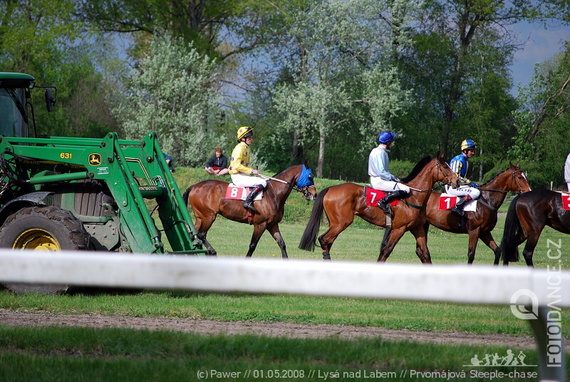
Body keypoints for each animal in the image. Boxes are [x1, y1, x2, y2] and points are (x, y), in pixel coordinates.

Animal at [182, 163, 316, 258]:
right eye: (310, 176)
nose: (314, 194)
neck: (273, 193)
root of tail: (194, 186)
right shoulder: (260, 224)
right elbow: (252, 245)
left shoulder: (272, 225)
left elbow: (282, 243)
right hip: (209, 216)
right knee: (201, 234)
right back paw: (212, 251)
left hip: (200, 217)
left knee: (194, 235)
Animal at [298, 154, 458, 262]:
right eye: (445, 166)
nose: (457, 181)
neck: (413, 195)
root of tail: (330, 188)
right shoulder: (399, 228)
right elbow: (386, 250)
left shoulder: (417, 228)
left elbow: (424, 253)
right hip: (341, 222)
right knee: (324, 239)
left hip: (335, 223)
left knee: (328, 241)